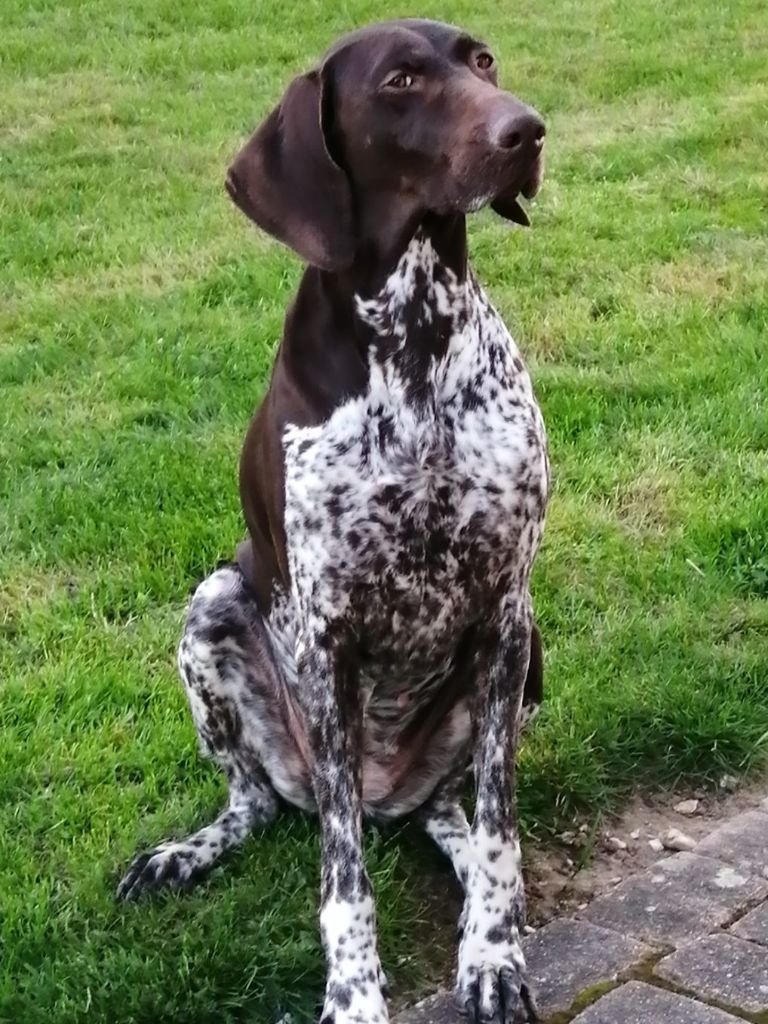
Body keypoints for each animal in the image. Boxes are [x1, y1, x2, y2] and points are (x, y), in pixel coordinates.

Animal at [118, 18, 549, 1024]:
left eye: (483, 62)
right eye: (399, 81)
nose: (527, 130)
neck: (414, 339)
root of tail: (394, 793)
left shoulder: (507, 611)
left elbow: (500, 831)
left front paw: (492, 954)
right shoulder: (328, 638)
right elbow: (343, 883)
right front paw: (354, 995)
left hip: (521, 666)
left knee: (451, 815)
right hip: (215, 607)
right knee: (259, 804)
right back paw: (186, 853)